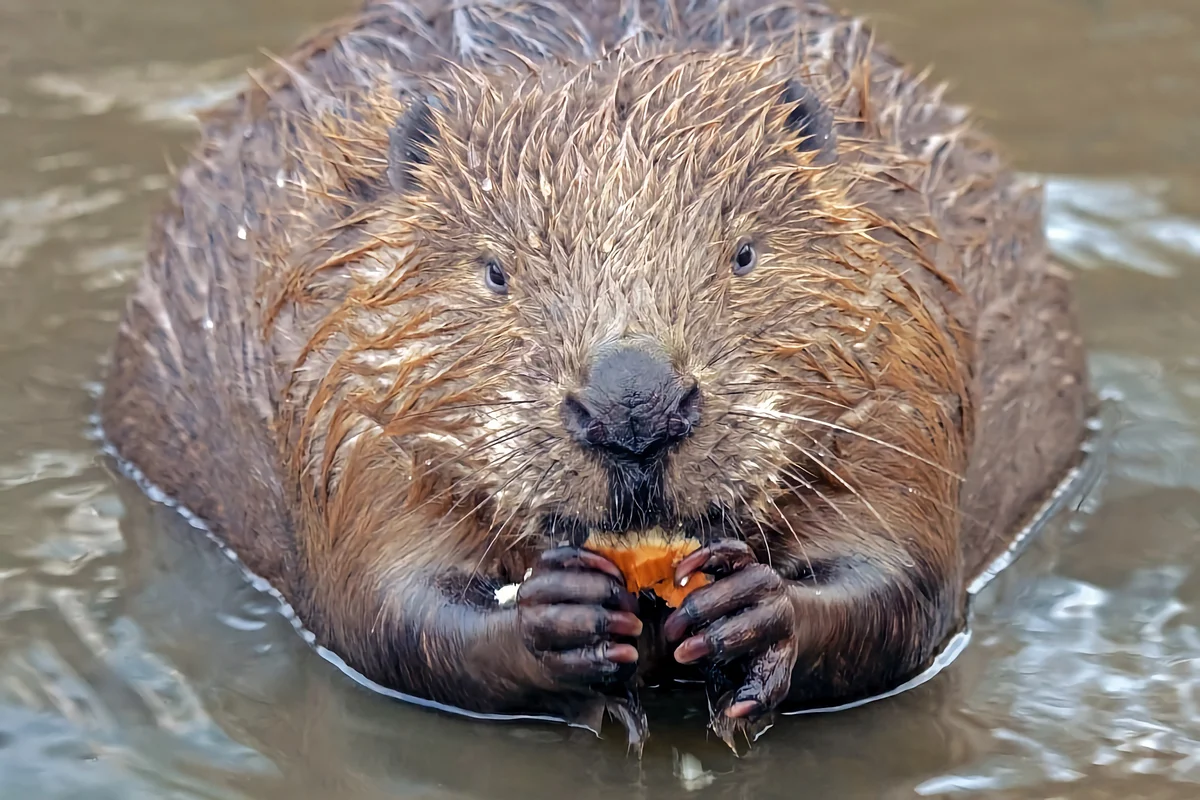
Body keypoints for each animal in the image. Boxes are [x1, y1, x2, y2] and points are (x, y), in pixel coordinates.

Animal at [98, 0, 1094, 753]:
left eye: (743, 253)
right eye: (496, 271)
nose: (634, 408)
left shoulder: (906, 362)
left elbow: (910, 585)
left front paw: (748, 608)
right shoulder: (341, 397)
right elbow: (382, 608)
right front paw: (563, 618)